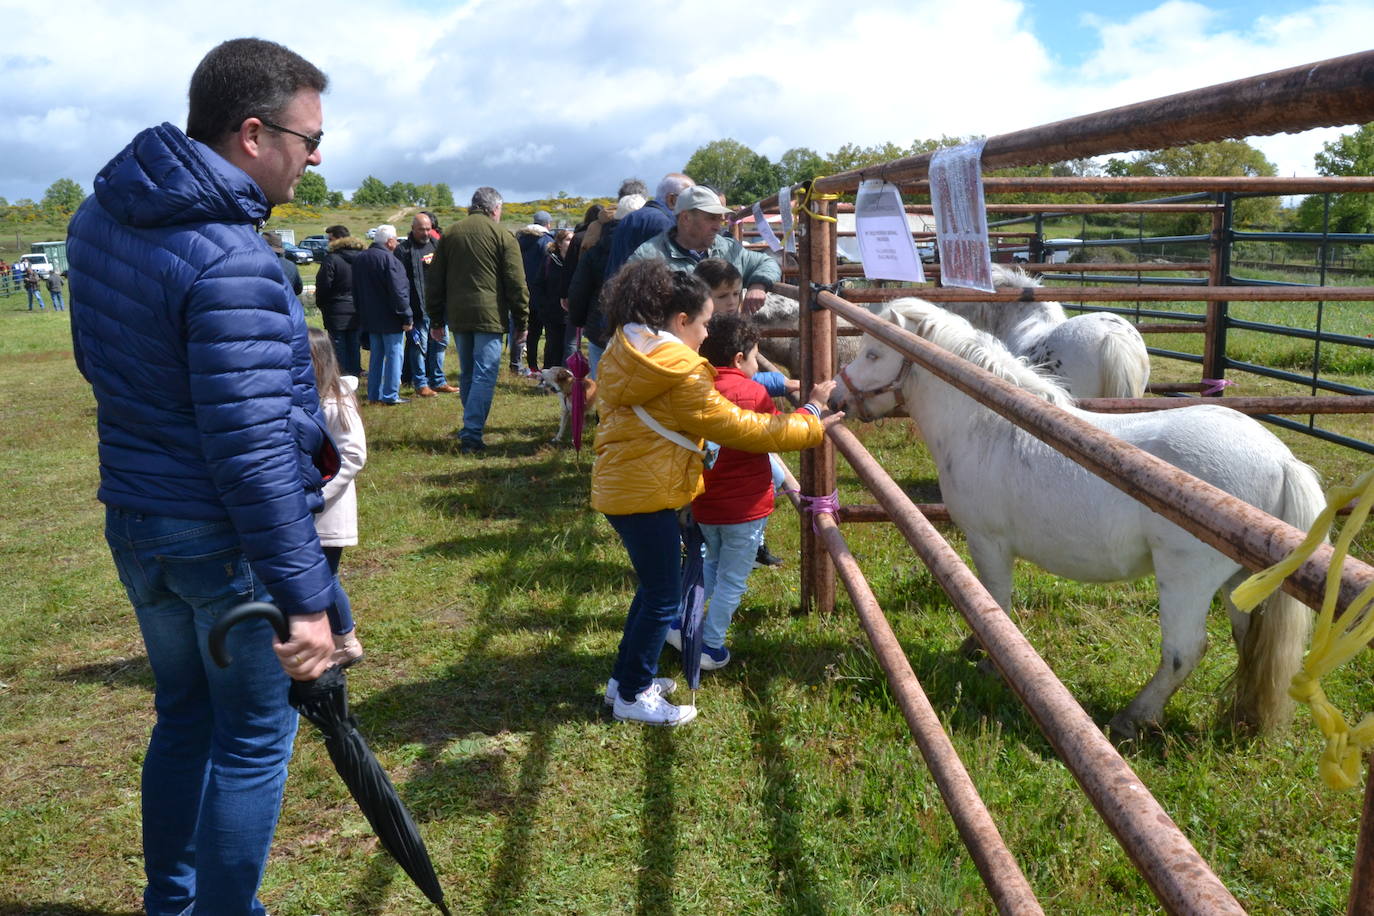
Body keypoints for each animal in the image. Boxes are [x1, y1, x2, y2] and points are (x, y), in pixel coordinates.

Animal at [824, 298, 1319, 741]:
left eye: (873, 353)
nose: (834, 396)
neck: (989, 422)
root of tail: (1282, 461)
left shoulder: (989, 543)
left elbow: (994, 604)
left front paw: (985, 660)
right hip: (1240, 582)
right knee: (1249, 641)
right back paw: (1241, 717)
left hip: (1186, 579)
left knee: (1184, 652)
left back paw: (1132, 718)